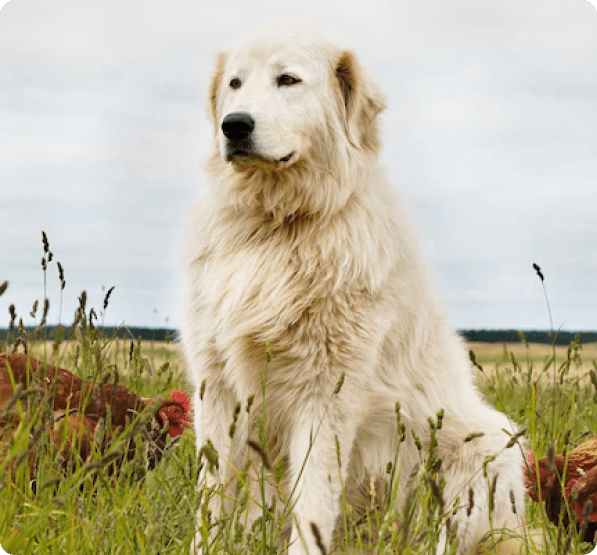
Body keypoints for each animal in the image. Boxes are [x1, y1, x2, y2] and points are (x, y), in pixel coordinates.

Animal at [180, 23, 520, 552]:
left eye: (288, 79)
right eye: (235, 83)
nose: (233, 126)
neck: (276, 227)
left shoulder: (327, 396)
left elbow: (313, 504)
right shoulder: (215, 388)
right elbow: (211, 500)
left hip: (488, 450)